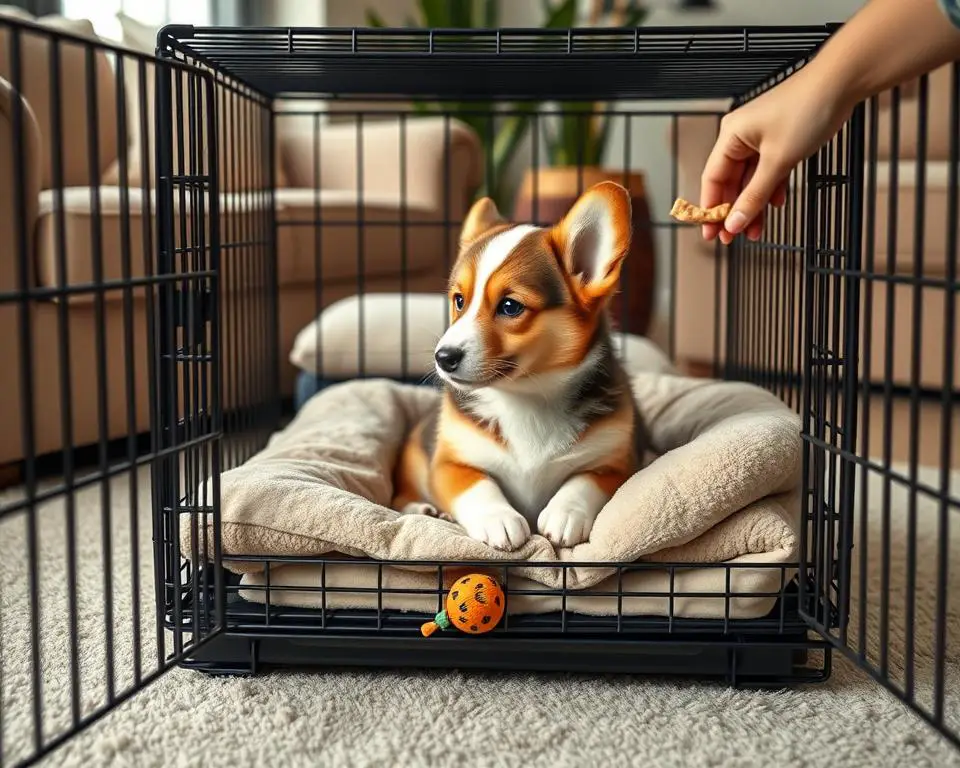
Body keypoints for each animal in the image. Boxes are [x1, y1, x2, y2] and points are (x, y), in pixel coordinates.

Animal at [390, 182, 644, 552]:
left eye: (510, 307)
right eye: (459, 301)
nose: (443, 357)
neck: (527, 396)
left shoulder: (617, 464)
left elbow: (584, 480)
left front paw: (565, 514)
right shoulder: (449, 463)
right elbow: (478, 483)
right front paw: (499, 520)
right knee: (400, 496)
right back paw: (423, 508)